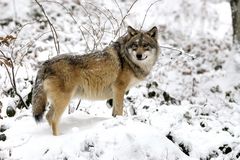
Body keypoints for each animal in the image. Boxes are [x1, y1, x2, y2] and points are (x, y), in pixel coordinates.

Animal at [31, 26, 159, 135]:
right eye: (135, 45)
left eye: (145, 45)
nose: (139, 55)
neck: (127, 59)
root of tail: (45, 64)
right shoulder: (119, 89)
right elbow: (119, 111)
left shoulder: (116, 93)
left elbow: (114, 113)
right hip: (64, 100)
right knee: (53, 120)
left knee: (48, 117)